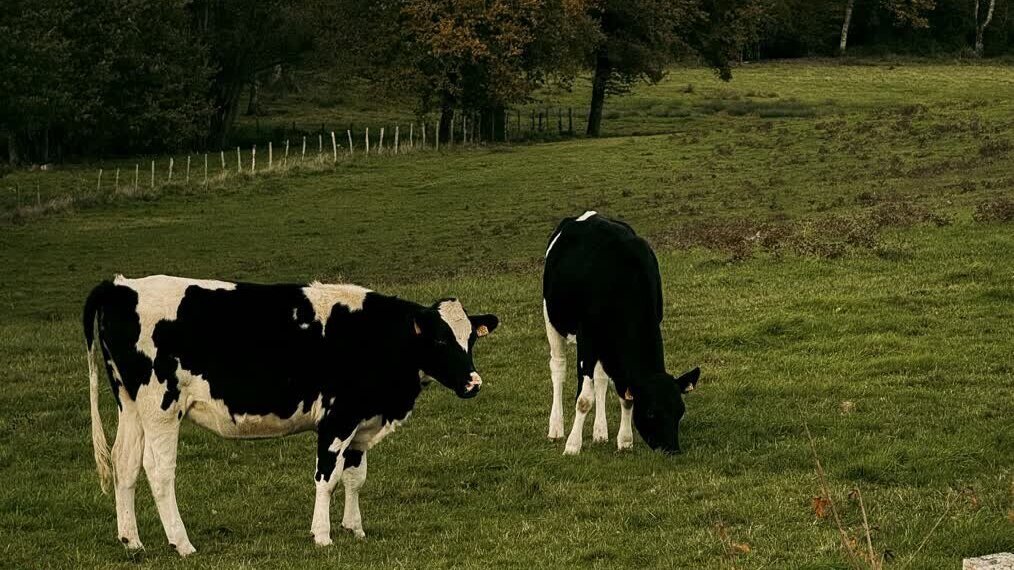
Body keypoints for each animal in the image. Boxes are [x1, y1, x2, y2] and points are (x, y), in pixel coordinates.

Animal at [84, 274, 499, 556]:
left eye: (470, 338)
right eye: (440, 339)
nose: (473, 382)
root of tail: (121, 286)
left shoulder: (361, 422)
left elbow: (355, 478)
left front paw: (354, 528)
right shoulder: (337, 418)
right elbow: (327, 478)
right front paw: (323, 535)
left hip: (130, 406)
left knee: (124, 463)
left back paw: (132, 541)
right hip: (160, 408)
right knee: (158, 470)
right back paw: (181, 542)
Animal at [542, 211, 700, 455]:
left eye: (680, 411)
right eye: (651, 412)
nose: (672, 450)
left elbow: (625, 396)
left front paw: (624, 440)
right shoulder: (587, 338)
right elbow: (584, 400)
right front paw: (572, 445)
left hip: (604, 344)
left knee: (600, 379)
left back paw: (600, 432)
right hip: (553, 319)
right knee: (558, 368)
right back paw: (556, 428)